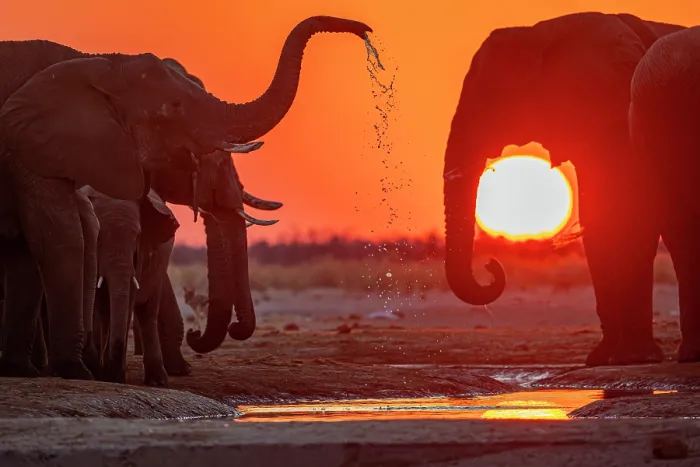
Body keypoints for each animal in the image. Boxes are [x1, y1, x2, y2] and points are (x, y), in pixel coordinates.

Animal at [0, 15, 372, 379]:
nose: (363, 28)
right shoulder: (28, 142)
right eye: (175, 109)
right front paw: (75, 372)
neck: (97, 62)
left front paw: (24, 370)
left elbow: (29, 247)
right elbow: (58, 235)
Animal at [442, 12, 685, 366]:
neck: (545, 32)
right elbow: (596, 216)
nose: (491, 265)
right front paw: (602, 360)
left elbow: (634, 214)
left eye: (492, 97)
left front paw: (633, 358)